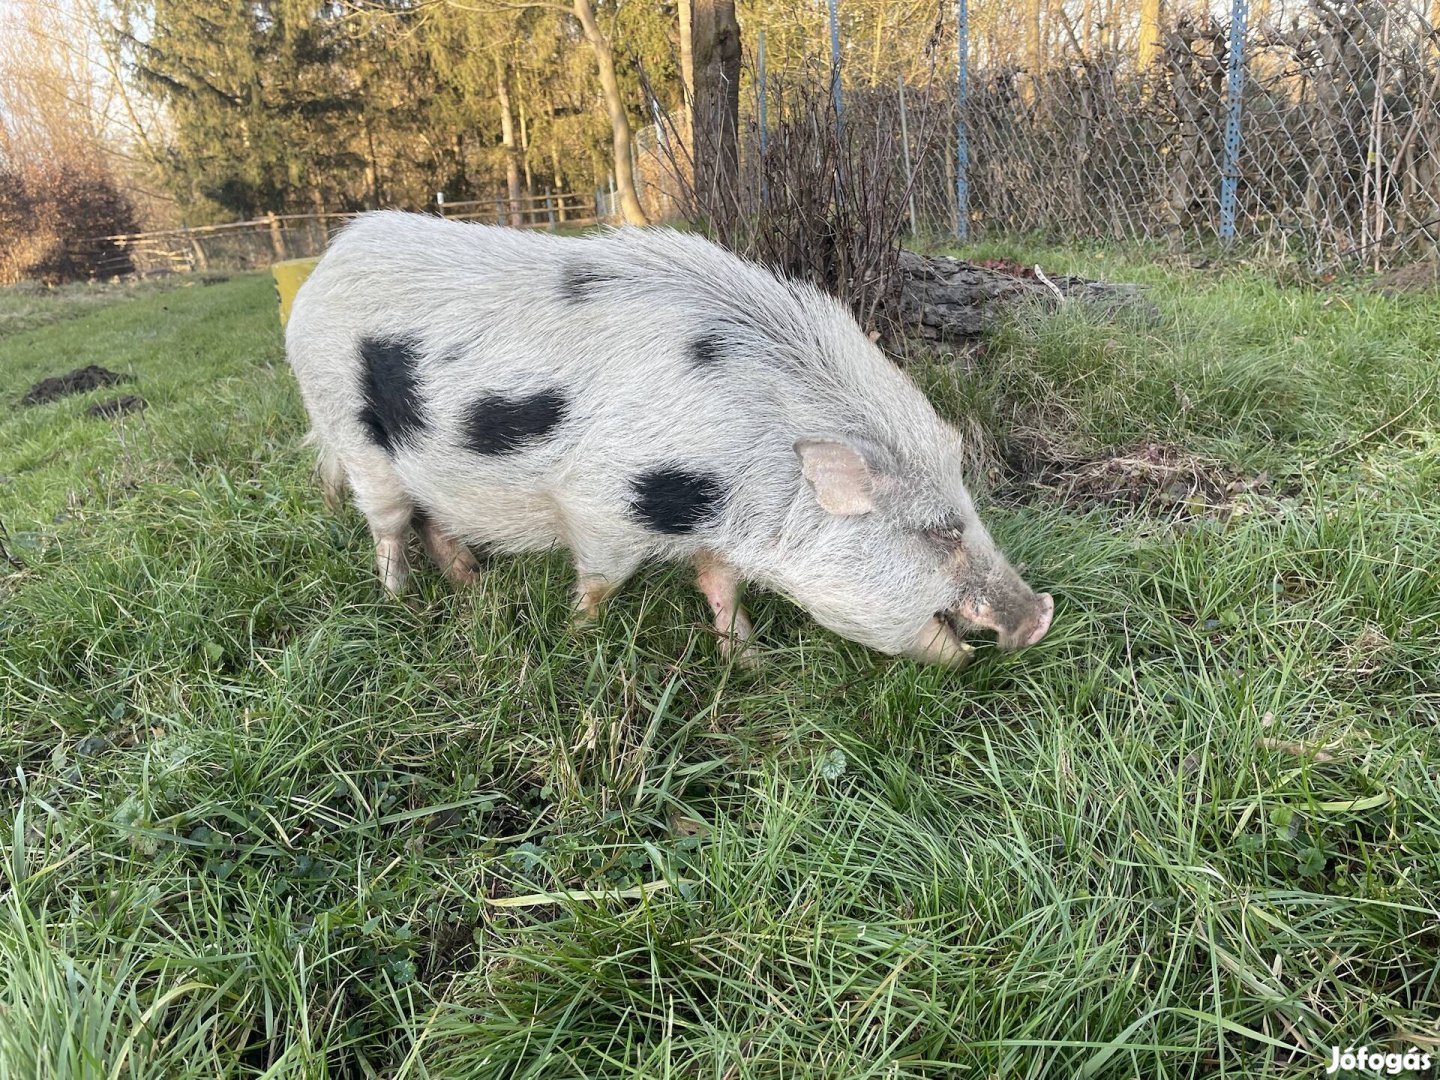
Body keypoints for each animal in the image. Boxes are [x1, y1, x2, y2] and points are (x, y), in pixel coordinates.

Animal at [289, 208, 1059, 668]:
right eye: (937, 531)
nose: (1040, 617)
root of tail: (323, 266)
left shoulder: (717, 526)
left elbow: (719, 583)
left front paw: (744, 658)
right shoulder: (598, 501)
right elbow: (602, 579)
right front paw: (577, 638)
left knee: (430, 518)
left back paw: (470, 585)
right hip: (349, 430)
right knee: (389, 525)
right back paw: (401, 601)